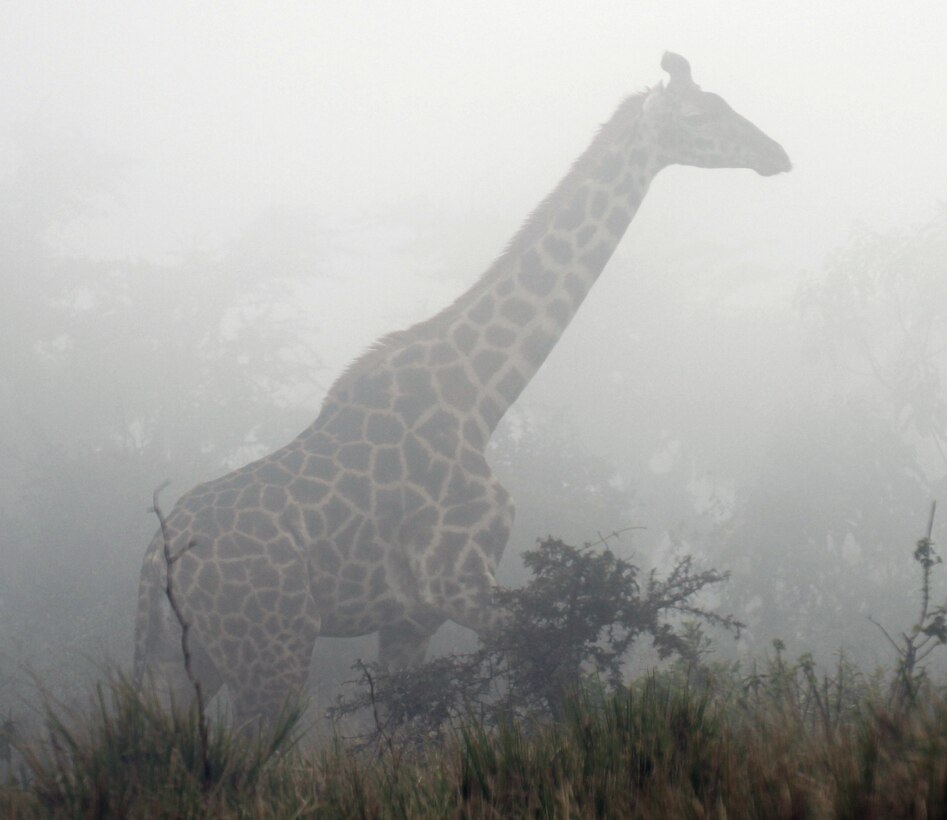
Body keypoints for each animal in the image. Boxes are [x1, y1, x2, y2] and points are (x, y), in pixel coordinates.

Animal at [130, 52, 788, 724]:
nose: (777, 154)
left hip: (174, 665)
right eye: (702, 113)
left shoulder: (410, 618)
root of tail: (155, 567)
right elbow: (561, 684)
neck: (480, 397)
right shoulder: (460, 583)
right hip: (270, 653)